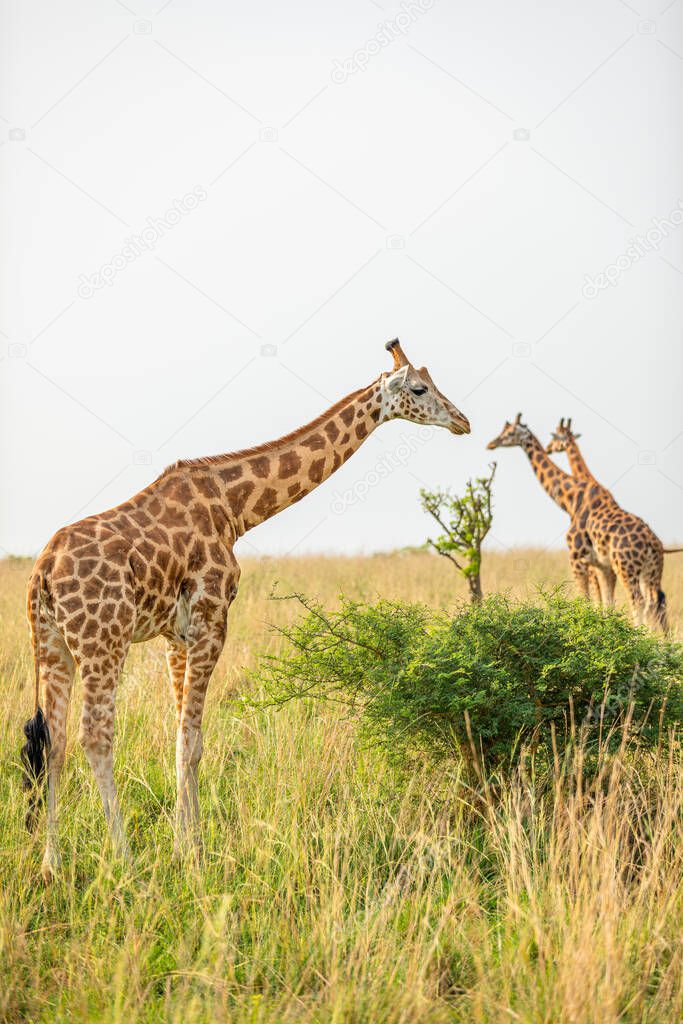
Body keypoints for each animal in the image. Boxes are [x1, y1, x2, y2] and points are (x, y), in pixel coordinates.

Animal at [21, 337, 471, 880]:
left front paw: (185, 845)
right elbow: (192, 743)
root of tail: (43, 571)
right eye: (421, 389)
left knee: (55, 741)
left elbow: (182, 738)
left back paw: (52, 863)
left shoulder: (176, 635)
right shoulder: (212, 620)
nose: (463, 421)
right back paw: (124, 861)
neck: (236, 509)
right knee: (94, 737)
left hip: (52, 646)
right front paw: (191, 854)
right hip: (101, 642)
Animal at [544, 417, 683, 630]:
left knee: (642, 600)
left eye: (555, 437)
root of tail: (656, 543)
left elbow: (597, 597)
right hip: (650, 570)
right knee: (657, 598)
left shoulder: (593, 564)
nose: (548, 448)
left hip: (631, 569)